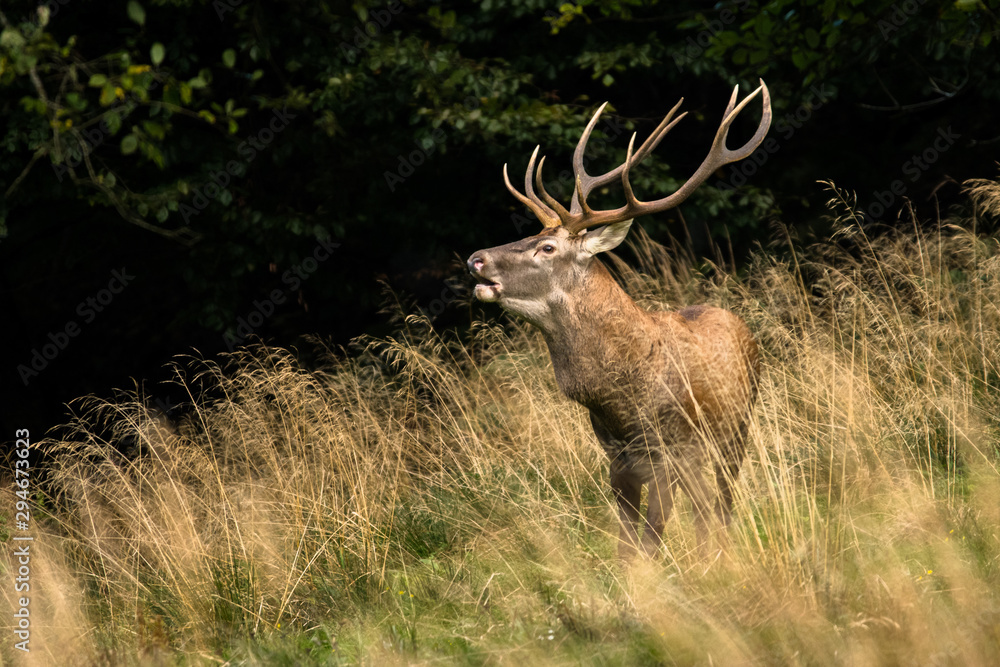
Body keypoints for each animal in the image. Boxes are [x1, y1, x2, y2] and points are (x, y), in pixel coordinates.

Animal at [467, 81, 771, 559]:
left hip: (735, 430)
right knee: (706, 508)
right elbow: (627, 549)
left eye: (547, 247)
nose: (475, 259)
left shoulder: (668, 453)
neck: (619, 402)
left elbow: (650, 540)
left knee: (721, 503)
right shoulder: (617, 460)